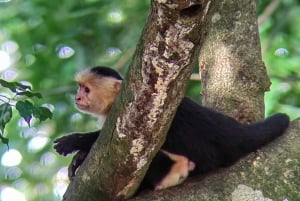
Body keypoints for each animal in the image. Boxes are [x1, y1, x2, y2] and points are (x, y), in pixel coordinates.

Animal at [53, 67, 288, 192]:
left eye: (86, 89)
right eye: (79, 88)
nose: (77, 98)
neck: (114, 104)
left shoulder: (133, 110)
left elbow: (134, 145)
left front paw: (76, 142)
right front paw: (79, 157)